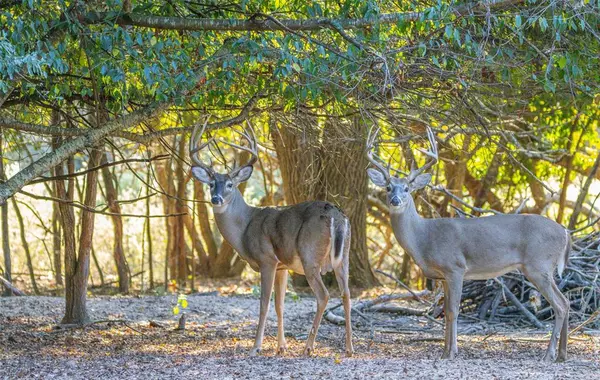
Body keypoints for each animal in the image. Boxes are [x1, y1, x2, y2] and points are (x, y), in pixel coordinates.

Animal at [190, 120, 354, 358]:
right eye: (211, 184)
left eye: (230, 185)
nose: (216, 199)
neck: (245, 227)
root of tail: (337, 216)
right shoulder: (282, 266)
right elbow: (280, 305)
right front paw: (281, 346)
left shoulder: (266, 259)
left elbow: (264, 304)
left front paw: (256, 346)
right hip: (344, 257)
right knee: (346, 294)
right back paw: (349, 348)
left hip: (310, 255)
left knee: (323, 295)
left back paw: (308, 346)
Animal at [366, 127, 572, 362]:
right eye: (388, 187)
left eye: (407, 188)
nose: (395, 200)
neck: (423, 238)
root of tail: (565, 232)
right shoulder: (443, 276)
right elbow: (446, 310)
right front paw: (444, 351)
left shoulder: (455, 267)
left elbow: (453, 310)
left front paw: (452, 352)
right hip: (543, 268)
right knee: (566, 301)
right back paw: (562, 354)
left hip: (538, 264)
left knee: (560, 305)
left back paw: (549, 355)